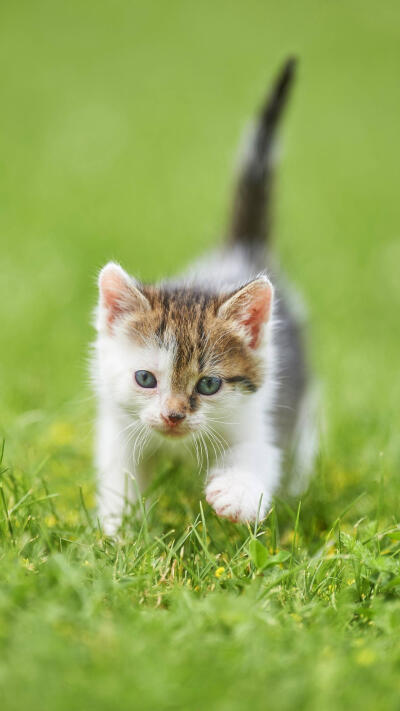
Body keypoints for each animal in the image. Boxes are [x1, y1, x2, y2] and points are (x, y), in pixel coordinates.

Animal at [93, 59, 316, 536]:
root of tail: (240, 251)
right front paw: (118, 533)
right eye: (145, 378)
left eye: (209, 384)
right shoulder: (118, 428)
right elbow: (120, 476)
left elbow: (260, 456)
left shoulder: (260, 414)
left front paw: (238, 493)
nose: (173, 415)